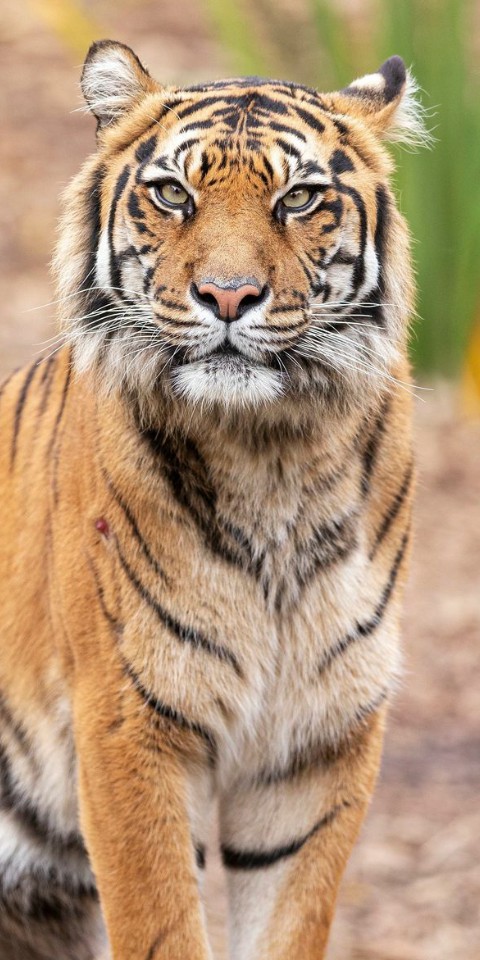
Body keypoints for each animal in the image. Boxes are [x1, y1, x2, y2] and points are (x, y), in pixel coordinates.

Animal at [0, 39, 426, 960]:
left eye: (298, 198)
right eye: (172, 193)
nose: (229, 297)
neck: (273, 456)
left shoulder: (319, 746)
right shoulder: (130, 727)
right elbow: (161, 923)